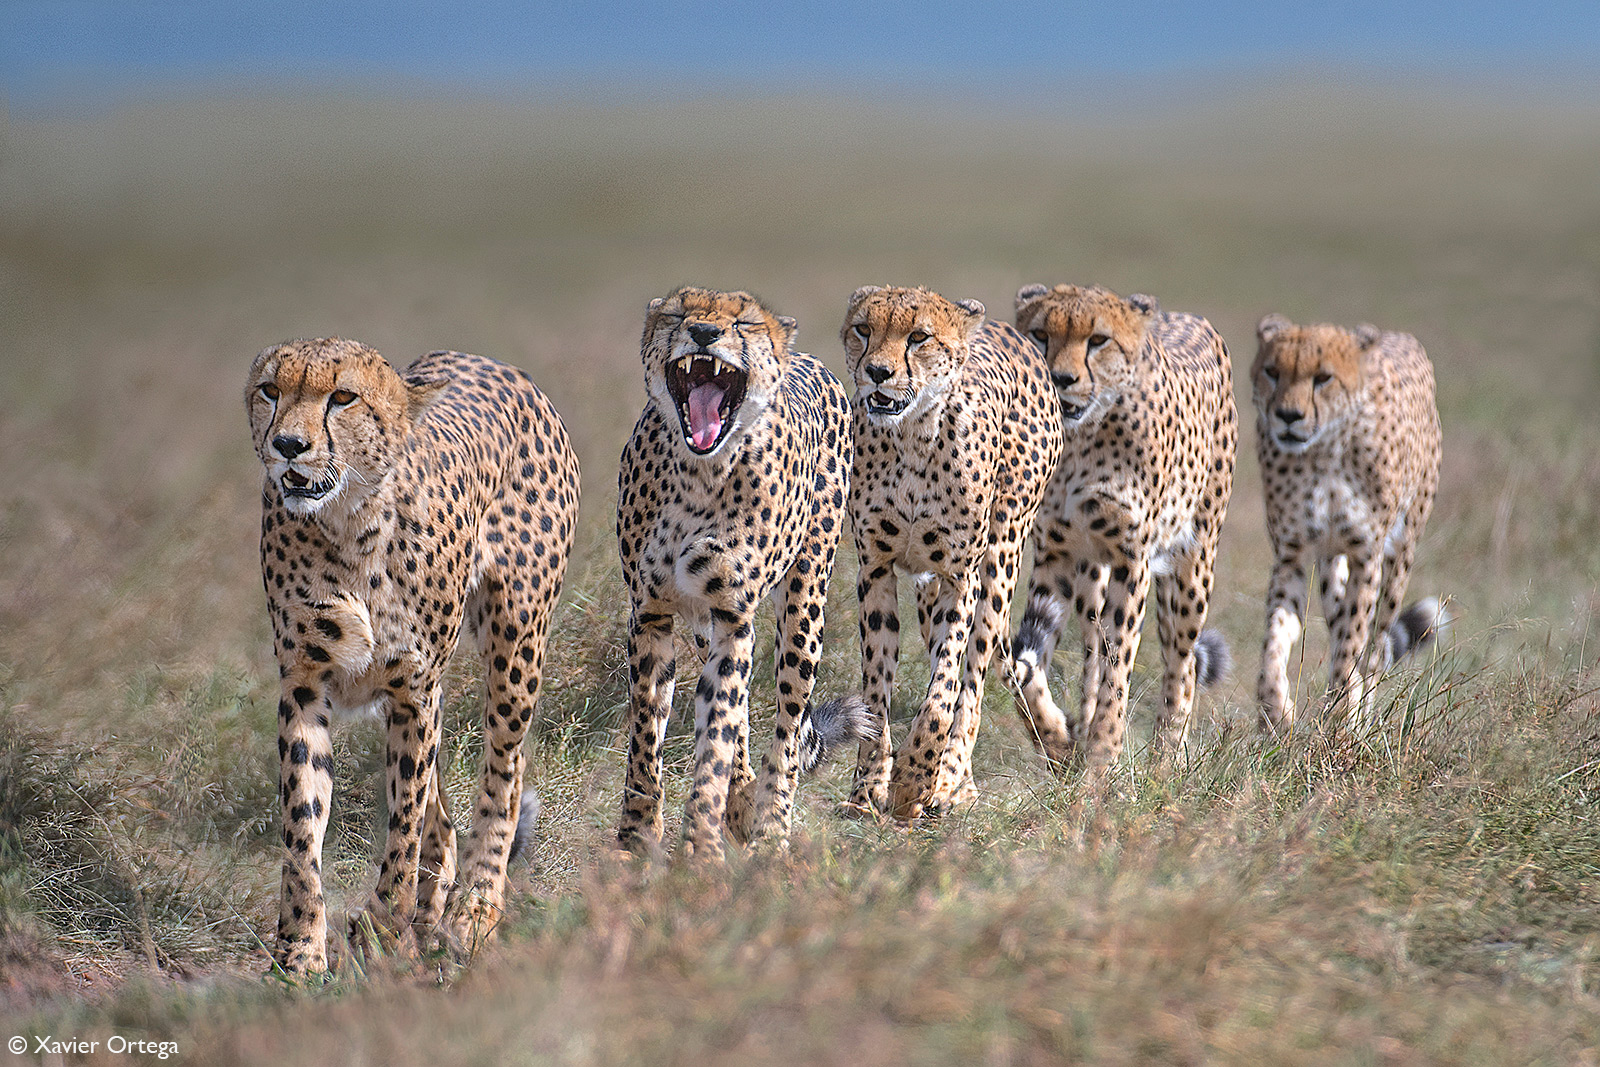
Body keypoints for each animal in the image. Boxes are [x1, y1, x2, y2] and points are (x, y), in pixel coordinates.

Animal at [246, 340, 579, 979]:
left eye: (342, 397)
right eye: (271, 390)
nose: (288, 445)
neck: (348, 521)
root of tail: (493, 362)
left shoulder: (413, 690)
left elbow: (403, 824)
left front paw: (382, 931)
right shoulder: (305, 684)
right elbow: (303, 822)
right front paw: (300, 952)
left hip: (516, 645)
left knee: (504, 770)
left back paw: (475, 911)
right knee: (443, 815)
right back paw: (432, 914)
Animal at [611, 287, 870, 863]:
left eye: (744, 323)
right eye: (678, 314)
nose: (705, 333)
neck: (698, 472)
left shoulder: (733, 614)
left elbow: (717, 737)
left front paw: (701, 850)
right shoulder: (653, 613)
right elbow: (646, 735)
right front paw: (636, 838)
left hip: (804, 604)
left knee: (787, 723)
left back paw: (771, 827)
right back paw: (743, 799)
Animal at [844, 283, 1068, 819]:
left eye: (918, 337)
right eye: (863, 328)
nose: (877, 371)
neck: (910, 438)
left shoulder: (958, 575)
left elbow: (945, 692)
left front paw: (913, 781)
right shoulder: (876, 569)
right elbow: (877, 687)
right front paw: (868, 788)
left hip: (1001, 558)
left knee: (976, 679)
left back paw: (949, 780)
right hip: (929, 587)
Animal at [1011, 279, 1235, 771]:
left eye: (1099, 340)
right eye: (1040, 334)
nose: (1060, 379)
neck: (1081, 440)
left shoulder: (1134, 562)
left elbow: (1120, 670)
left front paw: (1101, 760)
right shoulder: (1055, 556)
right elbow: (1024, 667)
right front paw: (1056, 738)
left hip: (1192, 565)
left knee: (1183, 662)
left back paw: (1166, 758)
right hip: (1091, 574)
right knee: (1093, 651)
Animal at [1248, 315, 1452, 735]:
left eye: (1323, 377)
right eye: (1272, 372)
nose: (1288, 416)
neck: (1324, 450)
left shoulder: (1366, 554)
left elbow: (1353, 638)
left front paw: (1341, 716)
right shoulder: (1292, 555)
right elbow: (1275, 639)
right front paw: (1276, 712)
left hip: (1400, 556)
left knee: (1375, 644)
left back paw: (1359, 709)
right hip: (1330, 560)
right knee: (1340, 616)